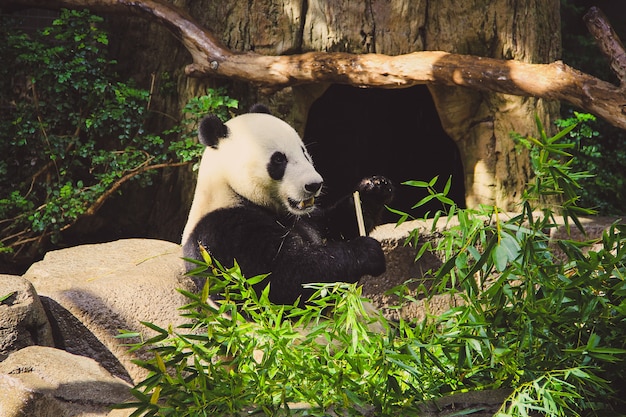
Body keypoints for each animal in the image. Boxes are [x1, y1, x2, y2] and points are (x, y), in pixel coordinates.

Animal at [180, 105, 392, 304]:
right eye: (279, 159)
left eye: (304, 152)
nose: (314, 184)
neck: (229, 187)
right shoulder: (224, 230)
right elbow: (282, 281)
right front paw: (368, 251)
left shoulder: (304, 217)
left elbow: (335, 226)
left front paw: (375, 187)